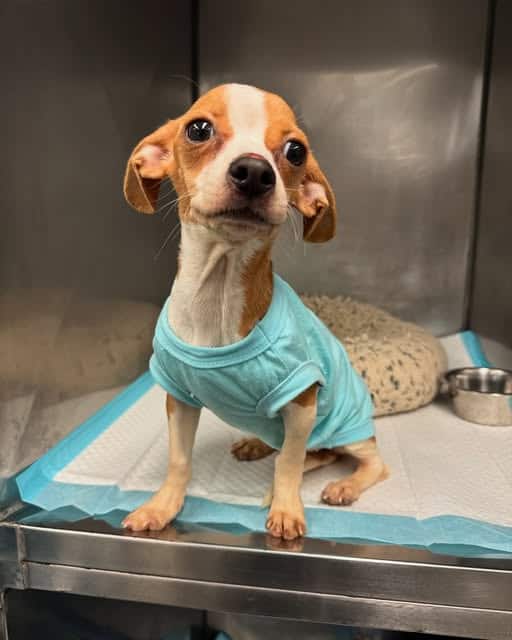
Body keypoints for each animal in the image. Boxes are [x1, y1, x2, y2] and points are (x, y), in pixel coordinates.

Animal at [122, 84, 388, 540]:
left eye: (296, 151)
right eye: (198, 129)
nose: (254, 171)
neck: (217, 296)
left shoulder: (301, 401)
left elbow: (289, 465)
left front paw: (286, 508)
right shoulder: (179, 396)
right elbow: (179, 460)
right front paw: (163, 506)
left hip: (347, 426)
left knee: (365, 462)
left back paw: (345, 486)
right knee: (313, 453)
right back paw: (258, 442)